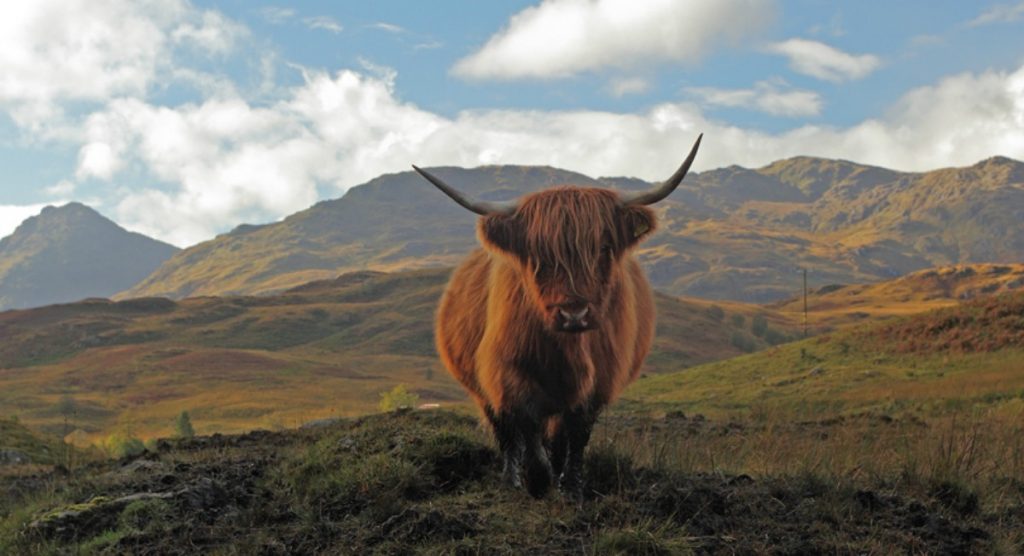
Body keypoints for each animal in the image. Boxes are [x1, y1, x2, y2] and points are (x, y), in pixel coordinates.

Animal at [411, 136, 700, 499]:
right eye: (538, 255)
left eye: (603, 248)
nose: (573, 313)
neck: (566, 350)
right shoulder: (507, 374)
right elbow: (526, 425)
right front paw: (537, 479)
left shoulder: (599, 380)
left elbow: (575, 433)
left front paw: (571, 486)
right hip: (482, 387)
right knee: (506, 432)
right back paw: (512, 480)